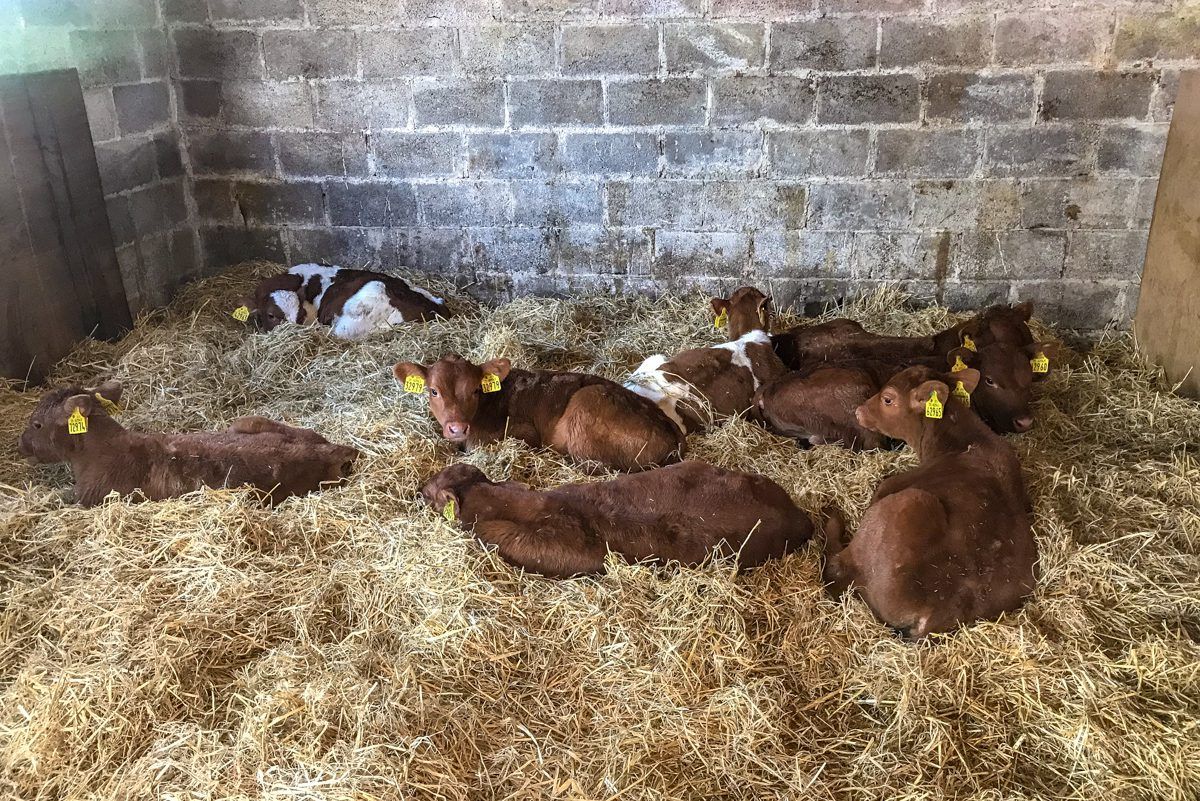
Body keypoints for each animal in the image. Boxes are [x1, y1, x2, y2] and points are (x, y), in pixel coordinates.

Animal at [821, 365, 1039, 638]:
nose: (859, 411)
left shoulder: (889, 486)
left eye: (888, 399)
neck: (963, 442)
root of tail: (935, 615)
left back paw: (831, 516)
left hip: (906, 503)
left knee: (835, 568)